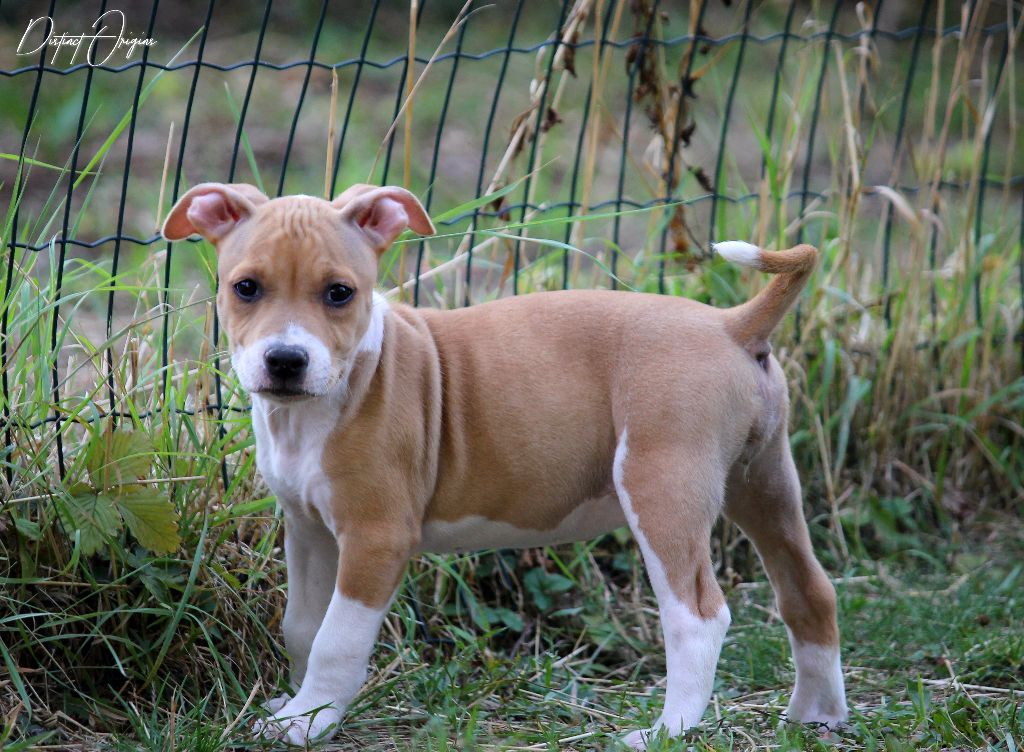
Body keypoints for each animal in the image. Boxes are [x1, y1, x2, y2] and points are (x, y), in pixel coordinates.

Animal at [162, 182, 848, 747]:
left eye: (339, 294)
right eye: (246, 287)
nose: (285, 360)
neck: (328, 398)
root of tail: (732, 326)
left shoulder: (377, 537)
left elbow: (336, 639)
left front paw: (307, 724)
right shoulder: (306, 530)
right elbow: (302, 626)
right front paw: (297, 708)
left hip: (664, 488)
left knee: (699, 616)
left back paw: (666, 731)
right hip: (764, 483)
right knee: (809, 590)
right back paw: (816, 716)